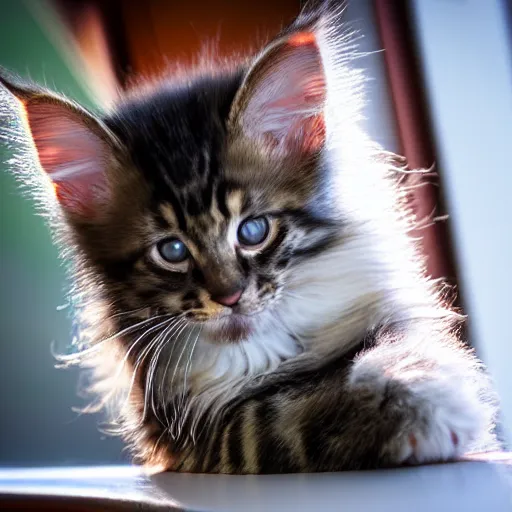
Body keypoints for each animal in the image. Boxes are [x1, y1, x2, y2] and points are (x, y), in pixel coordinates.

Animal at [0, 8, 496, 474]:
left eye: (253, 231)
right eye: (171, 251)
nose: (230, 297)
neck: (267, 348)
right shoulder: (200, 432)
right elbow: (291, 410)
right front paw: (421, 409)